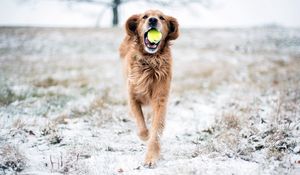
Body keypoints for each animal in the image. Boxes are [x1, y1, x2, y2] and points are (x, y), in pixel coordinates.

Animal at [118, 9, 178, 167]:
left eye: (162, 18)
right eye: (144, 17)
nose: (152, 20)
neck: (150, 61)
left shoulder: (160, 100)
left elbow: (156, 129)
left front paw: (151, 157)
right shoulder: (132, 98)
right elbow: (141, 123)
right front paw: (145, 135)